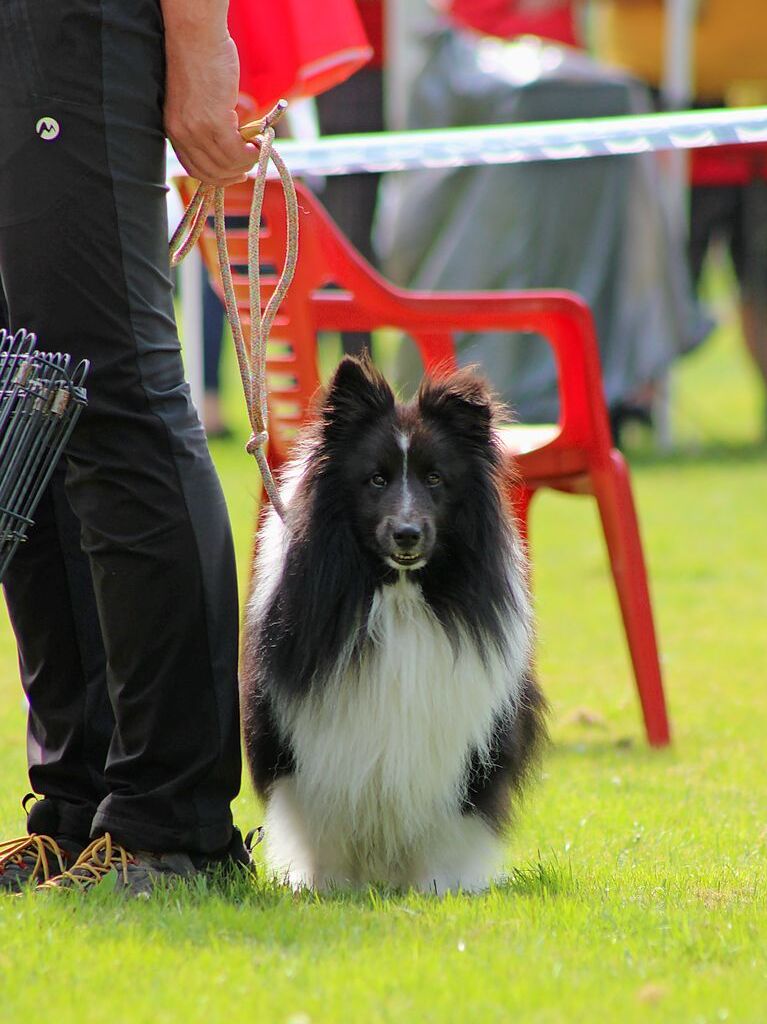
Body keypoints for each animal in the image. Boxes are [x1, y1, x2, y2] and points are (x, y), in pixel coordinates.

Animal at [239, 356, 544, 892]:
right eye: (376, 480)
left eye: (436, 479)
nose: (407, 534)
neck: (399, 594)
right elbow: (323, 823)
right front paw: (330, 888)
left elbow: (445, 830)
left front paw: (437, 889)